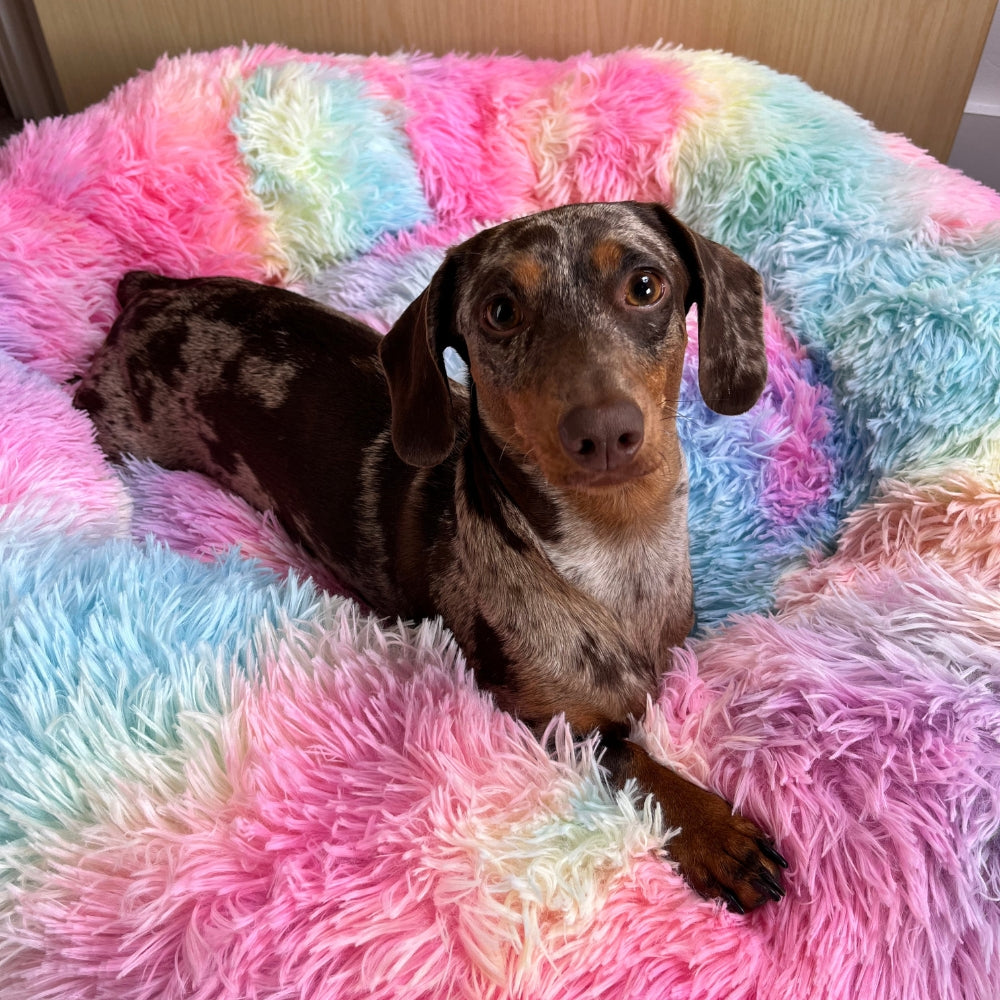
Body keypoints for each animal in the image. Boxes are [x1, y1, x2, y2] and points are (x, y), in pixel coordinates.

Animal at [74, 199, 784, 912]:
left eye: (645, 285)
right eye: (500, 311)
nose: (604, 431)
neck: (614, 552)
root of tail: (150, 294)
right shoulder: (551, 723)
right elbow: (634, 759)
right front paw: (716, 832)